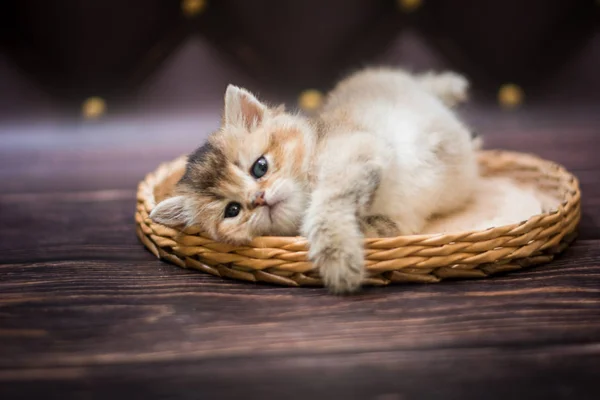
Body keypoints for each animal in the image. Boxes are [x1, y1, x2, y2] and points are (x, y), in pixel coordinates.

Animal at [152, 67, 480, 294]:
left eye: (260, 167)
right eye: (232, 211)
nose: (258, 198)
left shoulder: (357, 151)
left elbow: (324, 208)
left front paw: (337, 260)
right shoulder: (398, 223)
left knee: (426, 83)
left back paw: (454, 86)